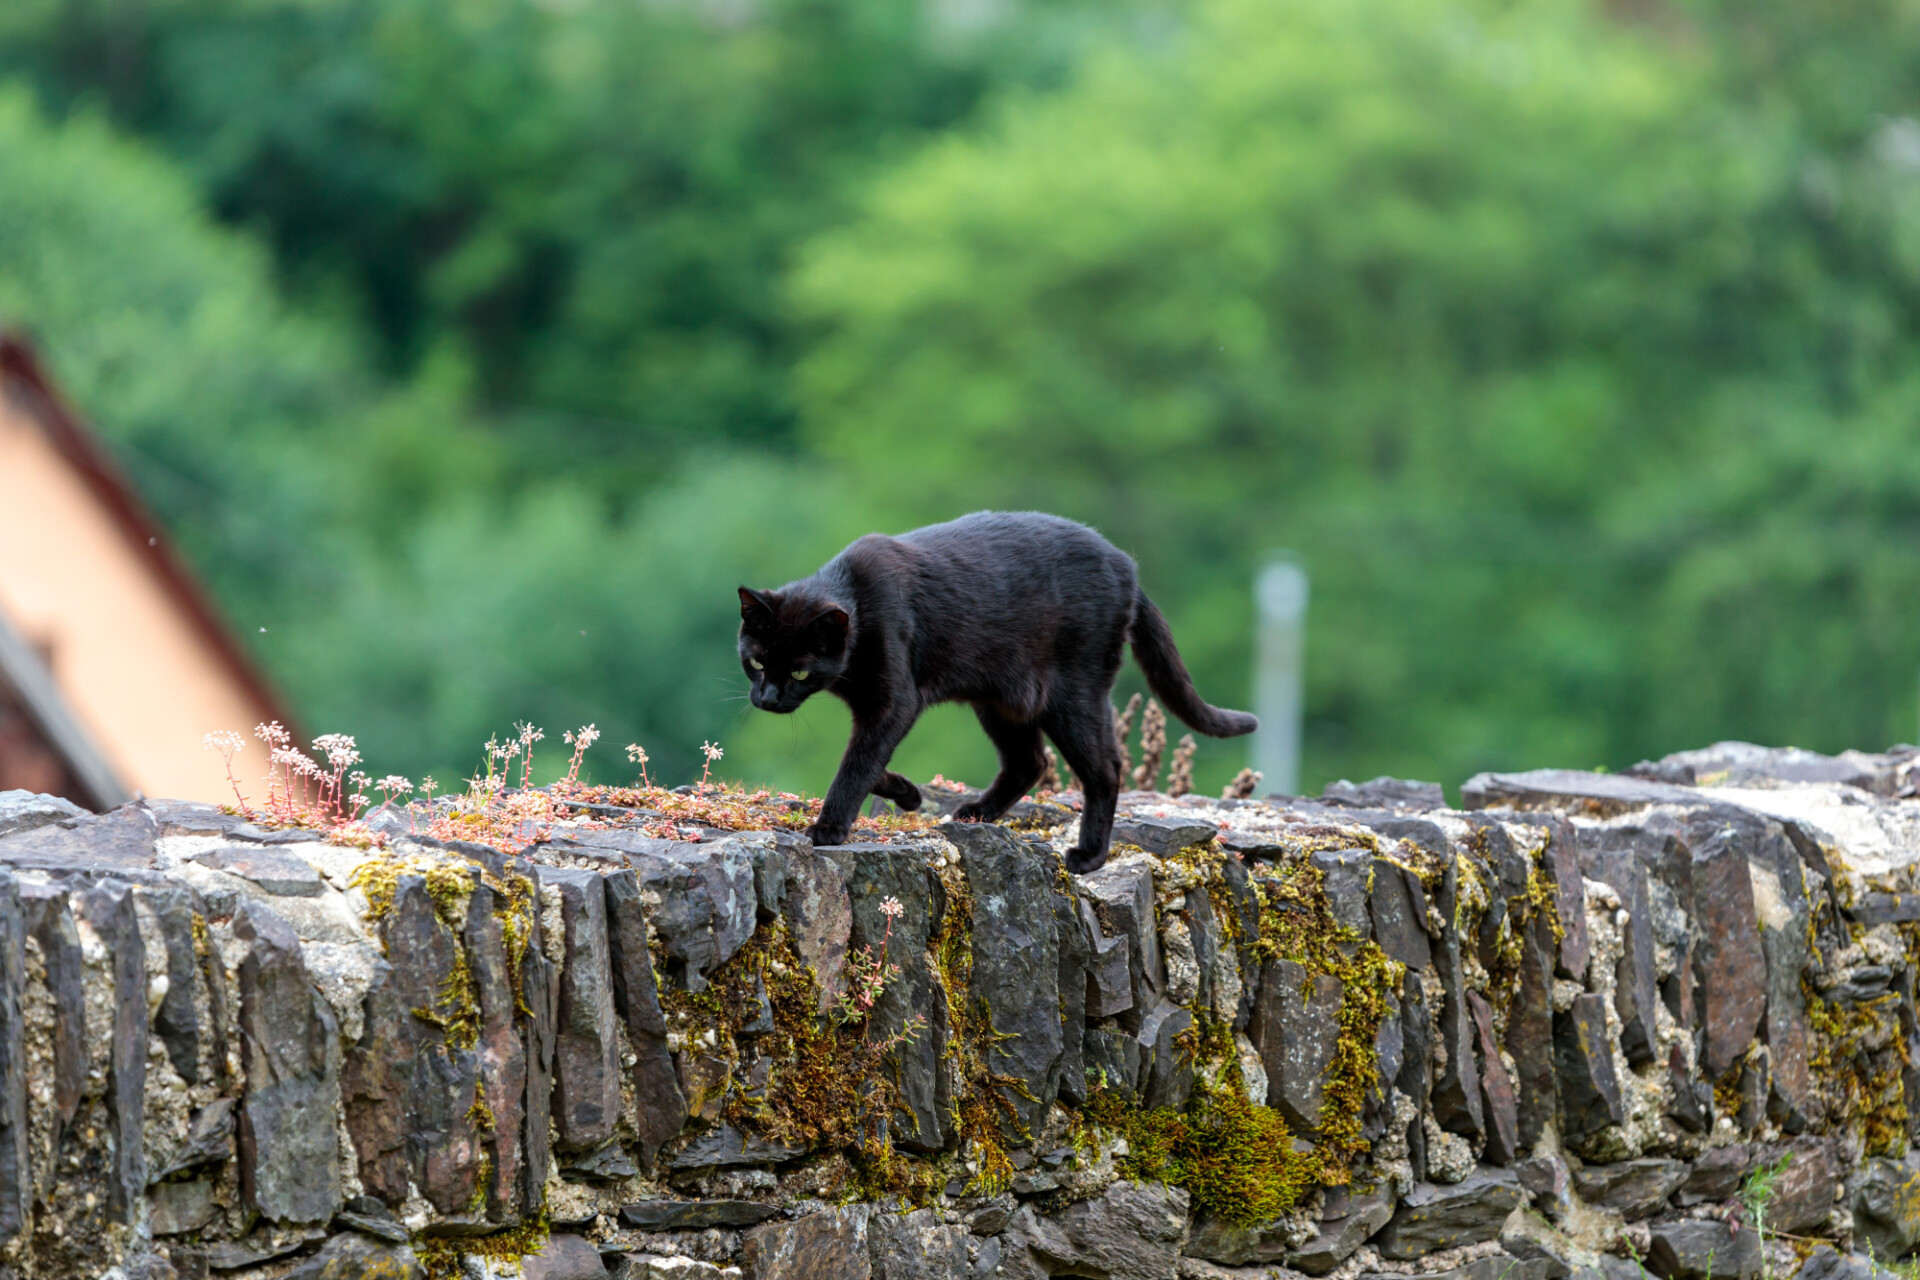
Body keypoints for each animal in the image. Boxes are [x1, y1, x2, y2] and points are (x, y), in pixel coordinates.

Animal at [737, 506, 1259, 871]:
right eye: (756, 662)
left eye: (799, 673)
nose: (767, 699)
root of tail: (1128, 568)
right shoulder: (877, 707)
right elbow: (865, 759)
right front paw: (907, 794)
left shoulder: (895, 701)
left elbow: (857, 761)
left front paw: (829, 827)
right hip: (1003, 699)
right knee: (1031, 761)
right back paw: (975, 814)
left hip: (1073, 693)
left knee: (1105, 767)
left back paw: (1089, 856)